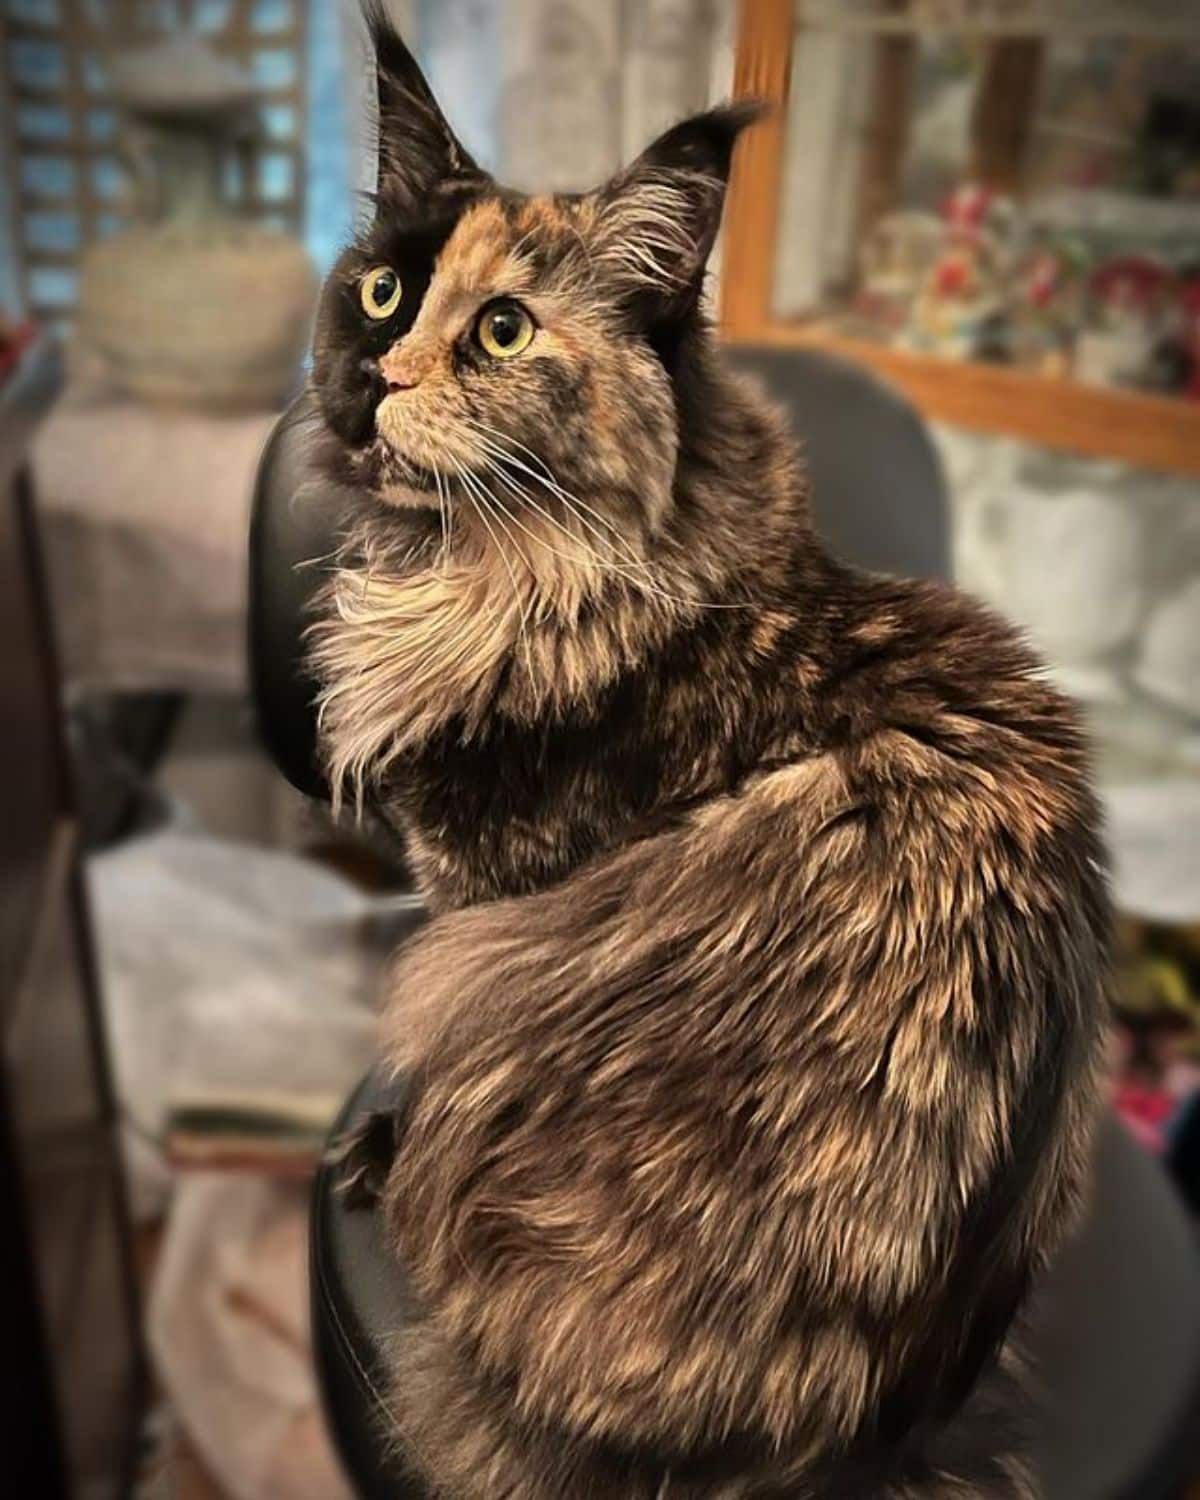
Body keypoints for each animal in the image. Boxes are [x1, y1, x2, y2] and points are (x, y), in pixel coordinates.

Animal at [304, 14, 1110, 1500]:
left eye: (502, 327)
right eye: (382, 291)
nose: (370, 378)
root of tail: (854, 1432)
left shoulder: (480, 894)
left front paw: (375, 1151)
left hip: (475, 972)